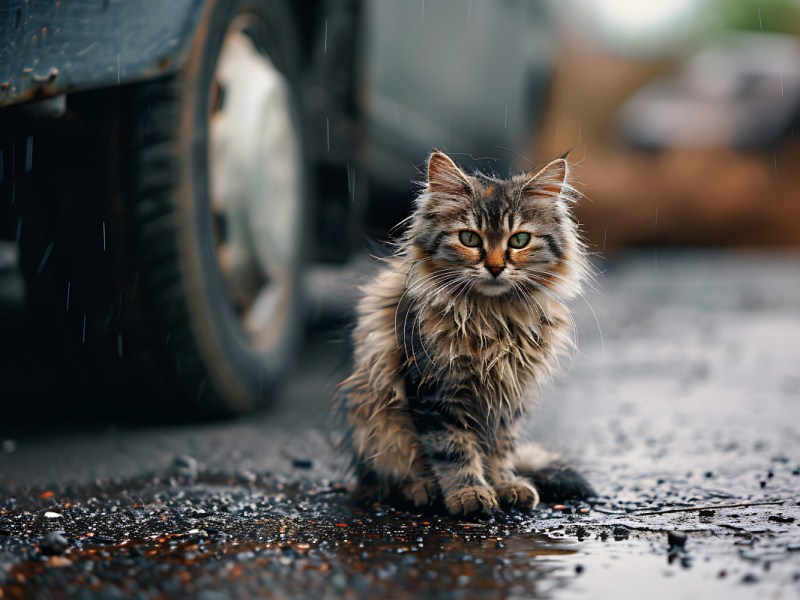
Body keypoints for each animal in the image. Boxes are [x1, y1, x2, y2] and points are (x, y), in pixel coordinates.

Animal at [334, 150, 592, 516]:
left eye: (520, 240)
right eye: (469, 238)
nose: (496, 267)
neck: (493, 317)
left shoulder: (508, 396)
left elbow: (499, 448)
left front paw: (504, 484)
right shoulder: (436, 390)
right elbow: (453, 450)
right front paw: (470, 493)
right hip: (376, 423)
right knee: (386, 477)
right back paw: (421, 490)